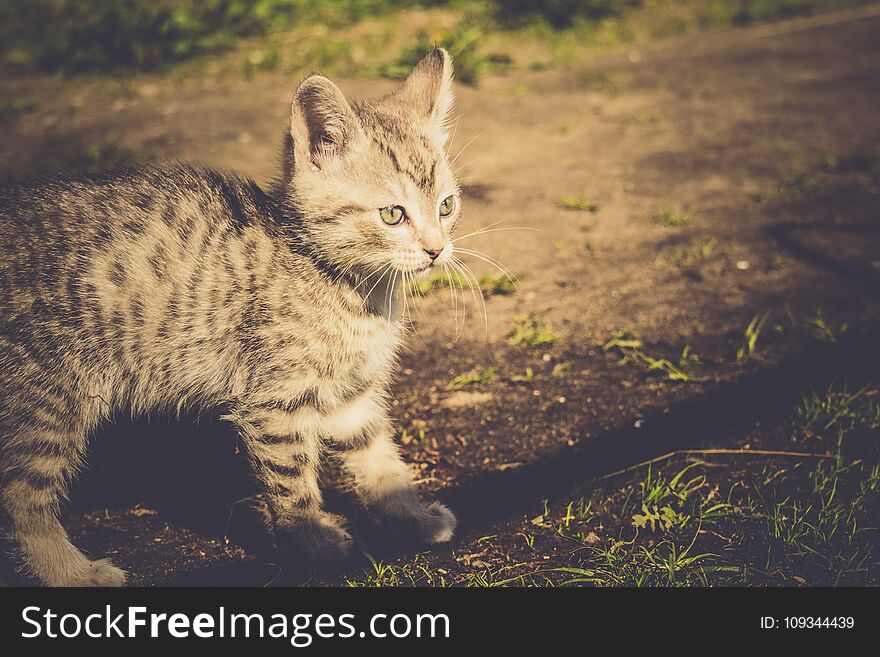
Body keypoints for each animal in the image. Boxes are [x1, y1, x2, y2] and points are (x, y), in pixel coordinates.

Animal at [1, 50, 460, 584]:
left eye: (447, 206)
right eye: (392, 215)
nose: (436, 250)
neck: (350, 286)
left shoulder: (353, 393)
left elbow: (380, 460)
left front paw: (414, 519)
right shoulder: (274, 399)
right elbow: (292, 483)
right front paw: (313, 543)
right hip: (47, 397)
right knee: (20, 497)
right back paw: (70, 571)